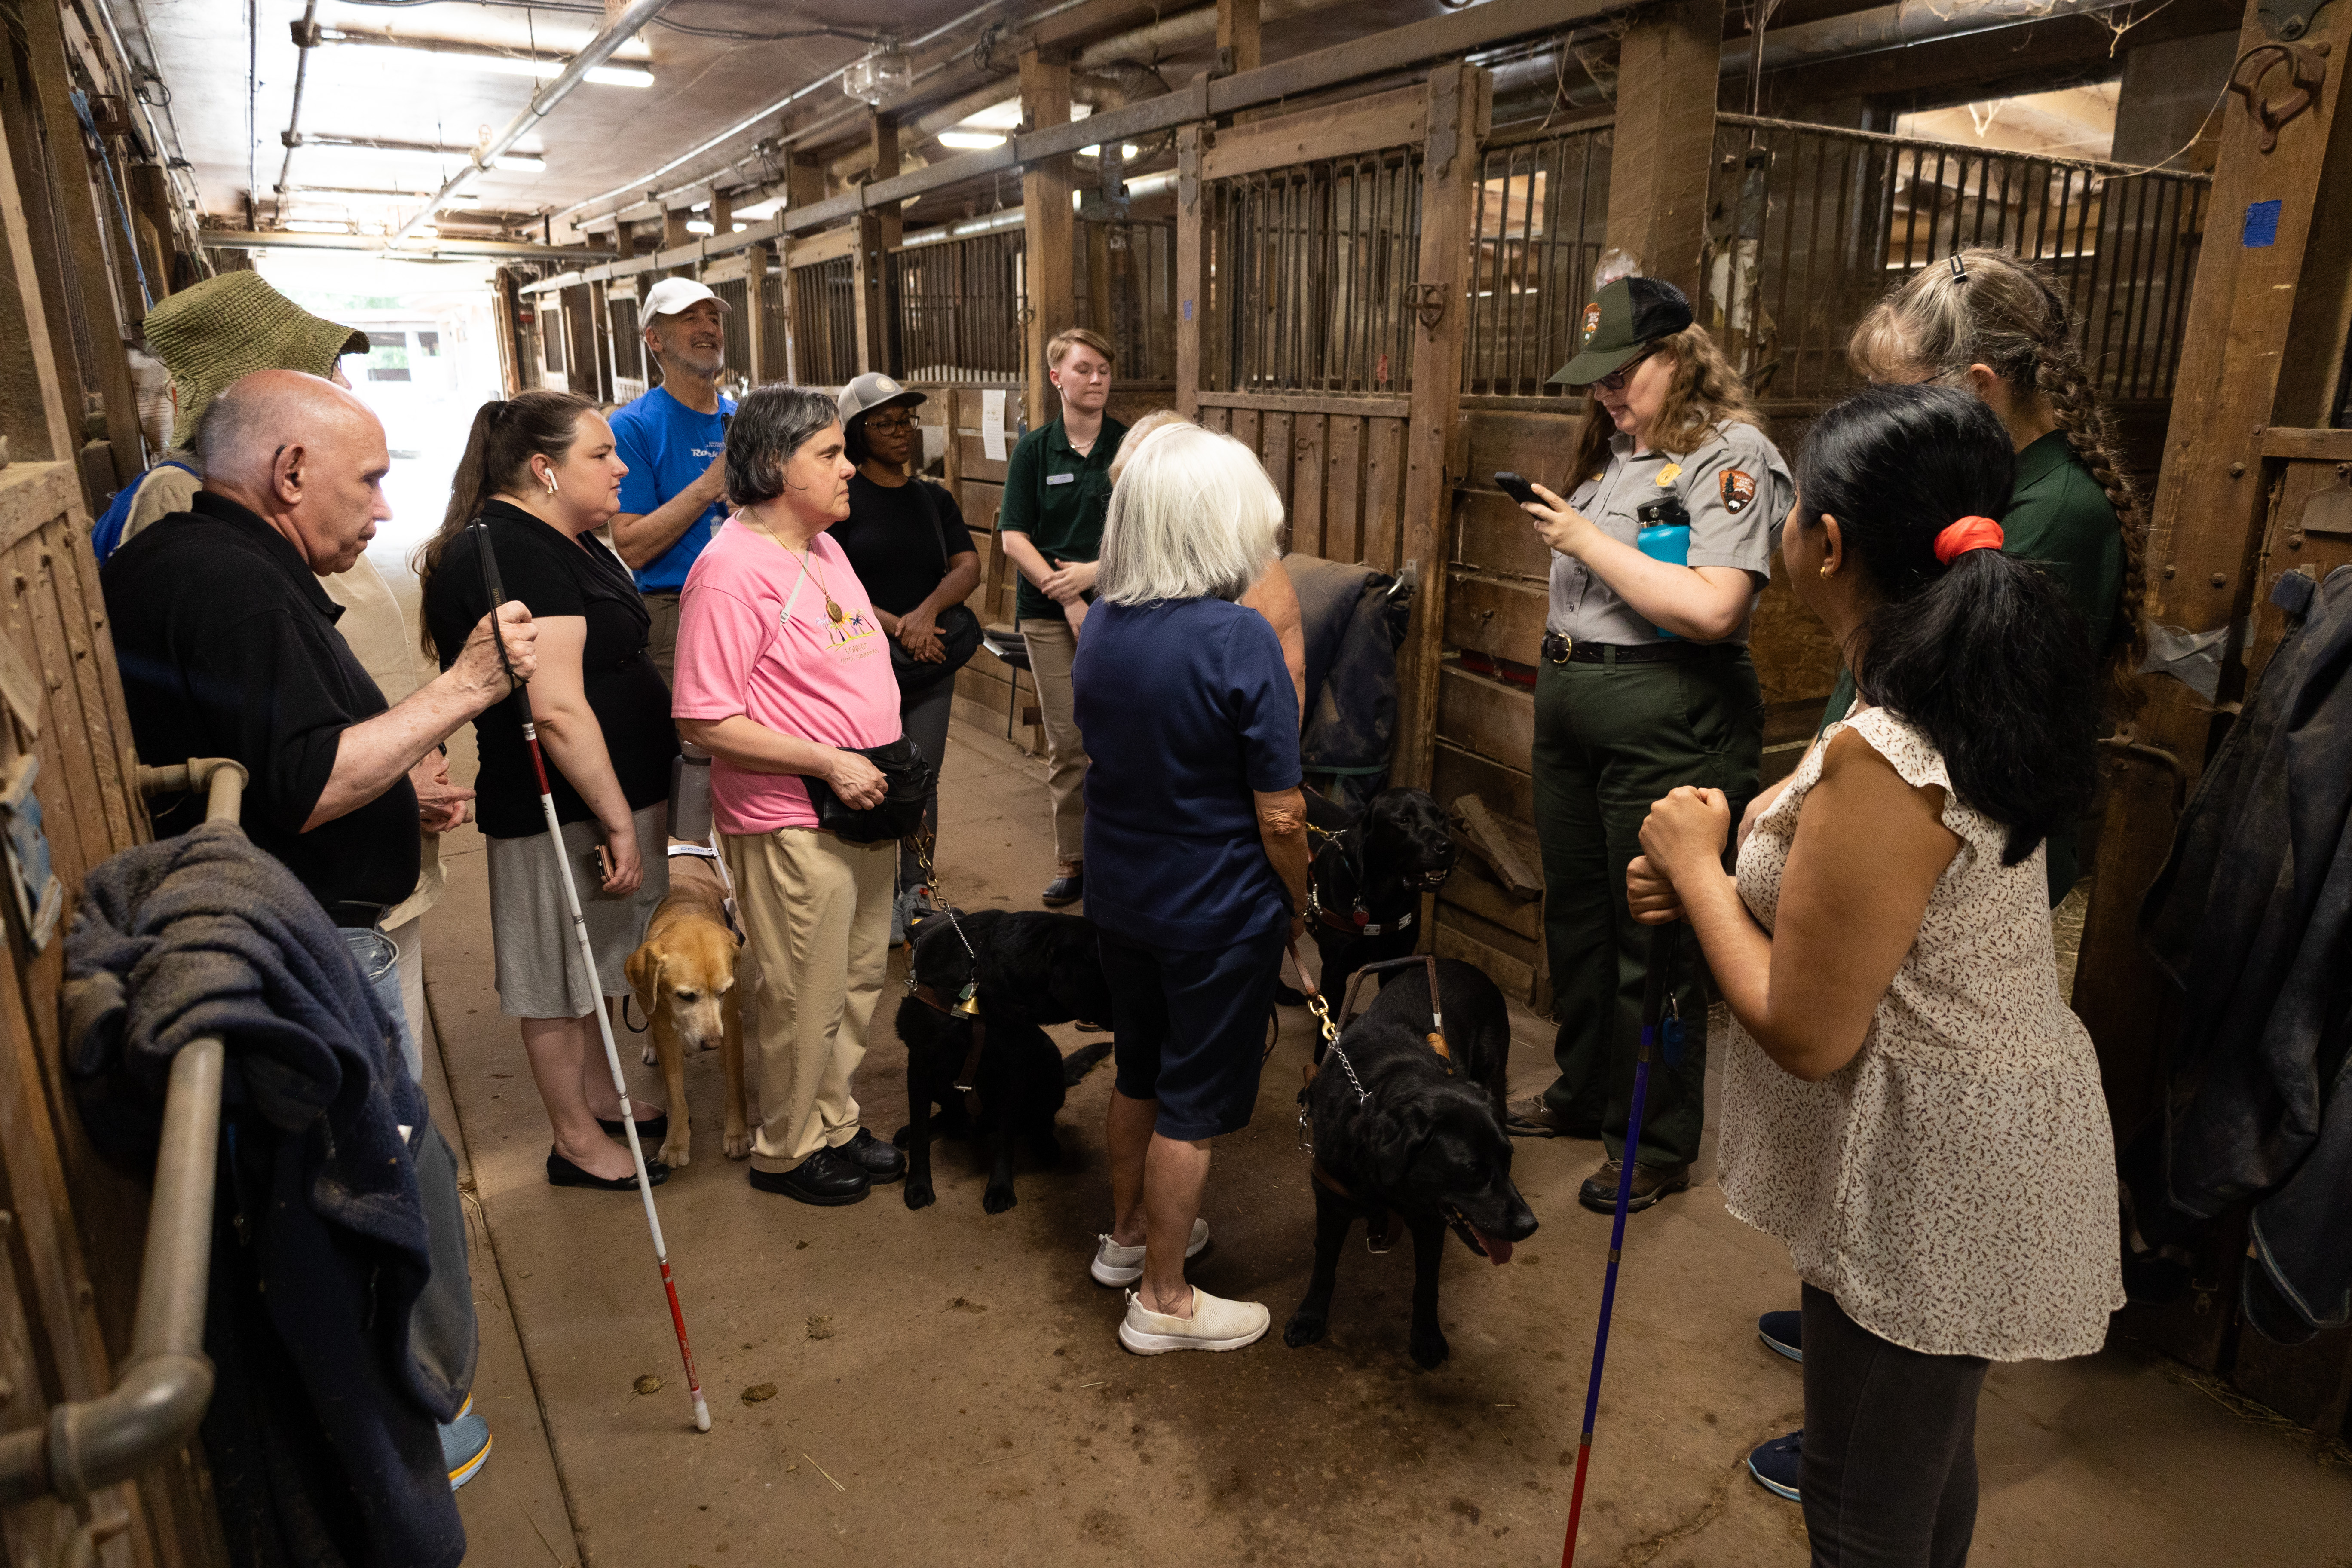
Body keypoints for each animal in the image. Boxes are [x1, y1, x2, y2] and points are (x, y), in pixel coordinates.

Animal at [621, 846, 748, 1166]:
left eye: (723, 992)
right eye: (686, 996)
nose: (714, 1044)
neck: (685, 908)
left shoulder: (731, 1023)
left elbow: (735, 1083)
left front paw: (738, 1135)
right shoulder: (665, 1029)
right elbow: (675, 1094)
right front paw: (676, 1143)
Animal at [889, 907, 1110, 1213]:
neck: (979, 980)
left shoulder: (1011, 1071)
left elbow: (1005, 1139)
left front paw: (1001, 1189)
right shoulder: (920, 1065)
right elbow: (922, 1134)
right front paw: (919, 1186)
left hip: (1048, 1059)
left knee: (1041, 1120)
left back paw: (1046, 1144)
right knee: (947, 1115)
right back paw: (912, 1131)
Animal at [1289, 785, 1449, 1006]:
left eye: (1441, 818)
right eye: (1404, 820)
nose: (1447, 846)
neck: (1383, 900)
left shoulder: (1396, 964)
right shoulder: (1334, 972)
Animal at [1289, 949, 1543, 1363]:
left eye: (1506, 1160)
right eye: (1472, 1171)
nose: (1529, 1225)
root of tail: (1463, 963)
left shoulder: (1430, 1220)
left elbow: (1427, 1284)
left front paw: (1426, 1338)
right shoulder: (1331, 1201)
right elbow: (1324, 1266)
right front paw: (1309, 1317)